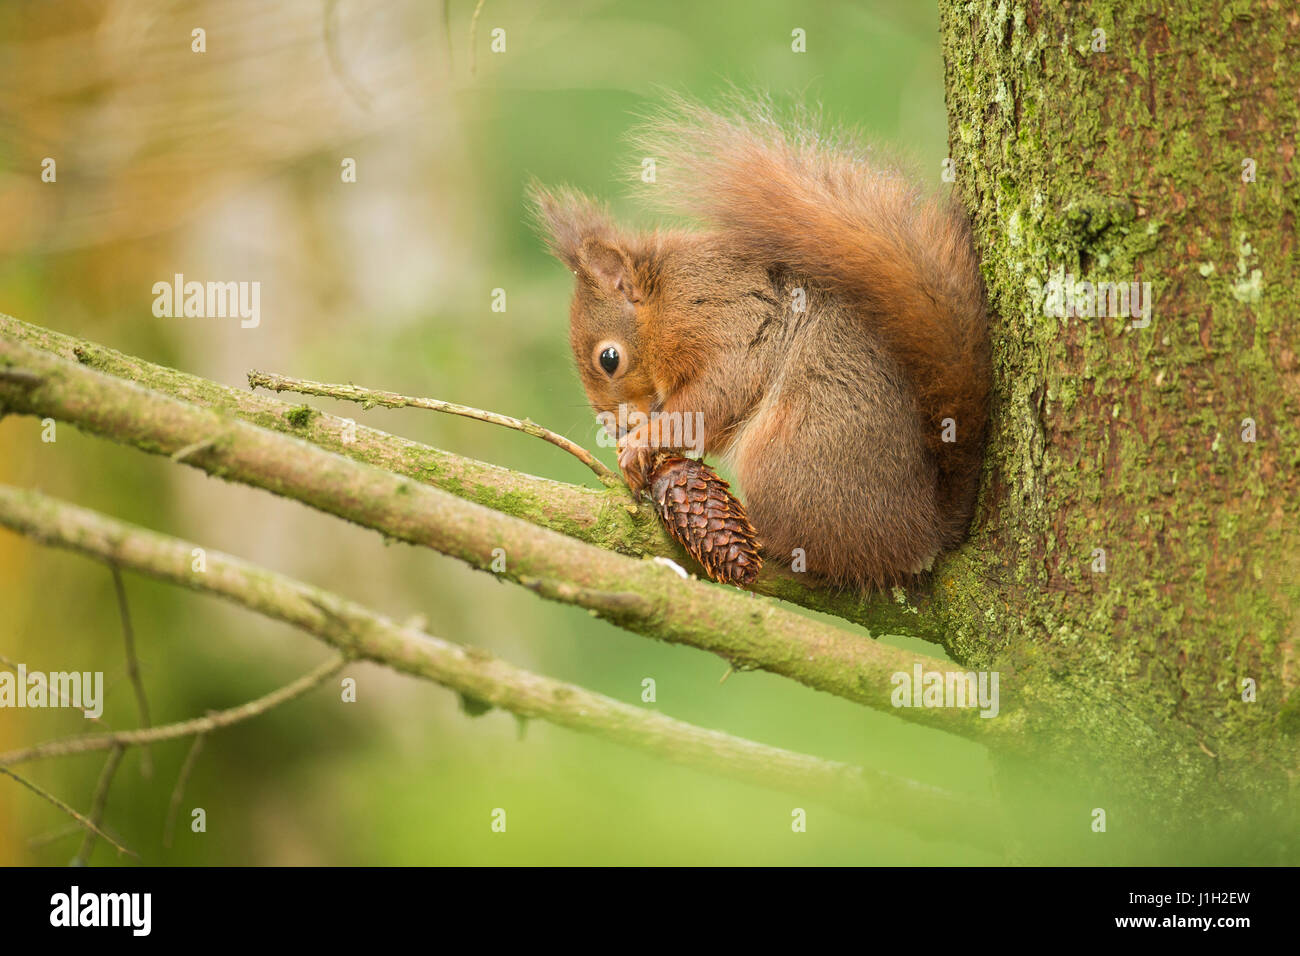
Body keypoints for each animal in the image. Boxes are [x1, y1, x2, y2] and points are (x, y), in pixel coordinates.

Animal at [533, 97, 987, 590]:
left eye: (609, 358)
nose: (614, 427)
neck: (666, 301)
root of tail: (923, 529)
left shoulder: (730, 327)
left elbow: (710, 399)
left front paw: (640, 443)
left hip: (787, 457)